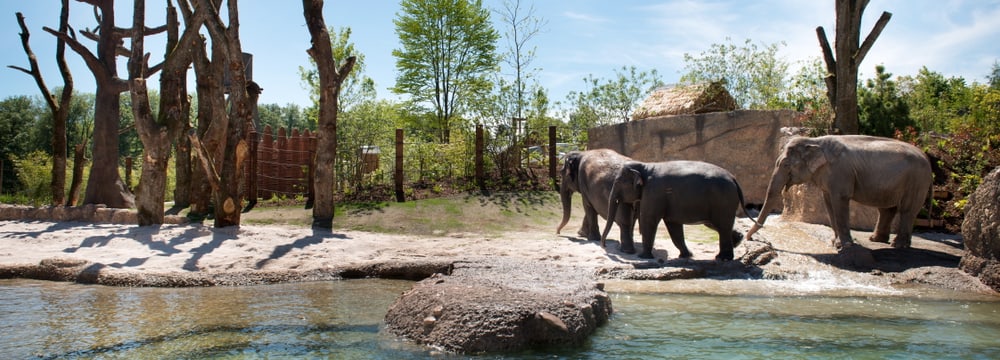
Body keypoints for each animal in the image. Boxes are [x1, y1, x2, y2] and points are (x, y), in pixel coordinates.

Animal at [596, 160, 752, 258]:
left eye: (619, 182)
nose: (604, 246)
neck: (645, 165)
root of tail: (734, 179)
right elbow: (673, 225)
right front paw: (686, 256)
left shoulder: (653, 192)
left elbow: (649, 220)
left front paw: (643, 257)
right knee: (718, 225)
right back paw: (736, 243)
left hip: (723, 201)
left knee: (722, 225)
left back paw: (723, 258)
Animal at [748, 134, 932, 252]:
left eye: (786, 165)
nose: (749, 238)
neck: (815, 141)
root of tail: (927, 158)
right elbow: (828, 203)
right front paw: (835, 243)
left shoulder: (840, 172)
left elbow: (840, 200)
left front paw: (845, 246)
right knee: (887, 209)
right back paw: (877, 240)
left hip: (917, 181)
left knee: (906, 210)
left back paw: (897, 245)